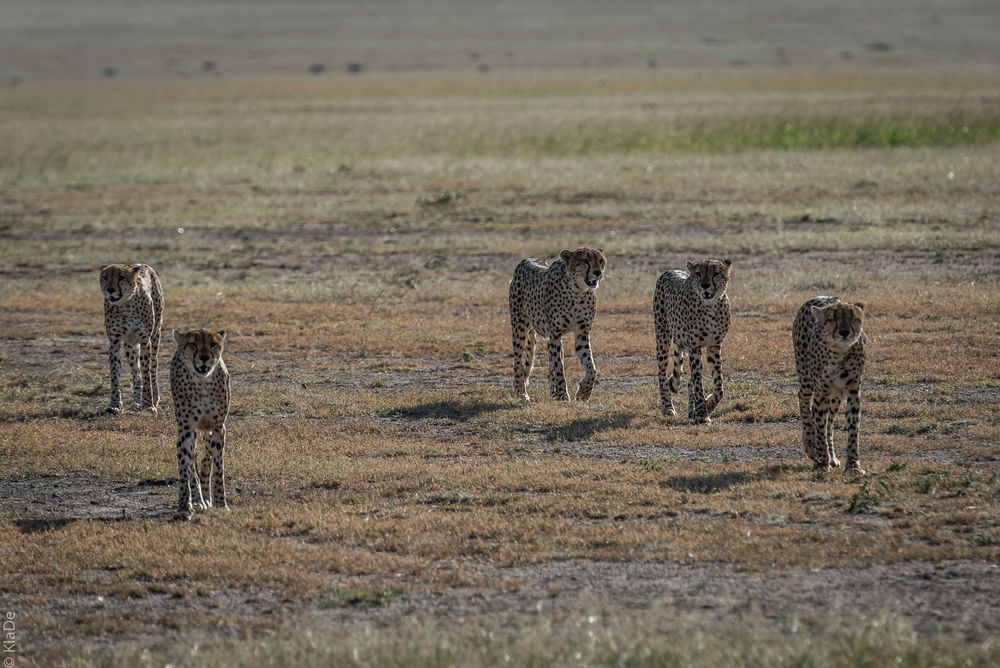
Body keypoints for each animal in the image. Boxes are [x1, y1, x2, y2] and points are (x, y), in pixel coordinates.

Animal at [100, 264, 164, 414]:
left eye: (121, 278)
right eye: (105, 277)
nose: (110, 290)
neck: (126, 305)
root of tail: (144, 265)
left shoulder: (145, 341)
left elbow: (146, 373)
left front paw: (148, 404)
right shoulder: (115, 343)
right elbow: (115, 374)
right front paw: (115, 404)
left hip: (155, 337)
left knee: (153, 368)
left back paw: (154, 397)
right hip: (130, 345)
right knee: (136, 373)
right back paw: (136, 402)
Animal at [174, 328, 234, 520]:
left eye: (213, 344)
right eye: (193, 344)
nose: (205, 358)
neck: (203, 384)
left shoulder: (218, 427)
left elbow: (218, 468)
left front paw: (221, 503)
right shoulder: (186, 429)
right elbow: (185, 468)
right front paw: (184, 507)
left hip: (210, 430)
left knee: (206, 457)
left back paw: (207, 498)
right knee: (192, 463)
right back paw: (199, 500)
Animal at [512, 247, 604, 400]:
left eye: (601, 261)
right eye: (585, 261)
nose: (598, 272)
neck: (577, 291)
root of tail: (527, 259)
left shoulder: (582, 334)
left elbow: (591, 367)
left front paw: (583, 392)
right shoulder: (555, 334)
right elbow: (559, 367)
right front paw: (563, 395)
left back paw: (552, 393)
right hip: (519, 327)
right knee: (518, 361)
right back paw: (521, 392)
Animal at [652, 258, 732, 422]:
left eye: (716, 274)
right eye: (699, 273)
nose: (705, 285)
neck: (711, 307)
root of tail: (669, 271)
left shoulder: (714, 346)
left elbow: (719, 387)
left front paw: (707, 407)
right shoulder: (695, 347)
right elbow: (698, 382)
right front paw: (701, 412)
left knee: (688, 381)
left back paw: (690, 412)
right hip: (663, 336)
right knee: (662, 374)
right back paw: (668, 408)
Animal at [792, 296, 864, 474]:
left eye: (853, 318)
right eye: (832, 319)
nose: (844, 333)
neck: (840, 352)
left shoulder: (853, 392)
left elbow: (852, 428)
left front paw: (853, 464)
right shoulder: (821, 393)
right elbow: (819, 427)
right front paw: (822, 462)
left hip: (835, 396)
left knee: (829, 423)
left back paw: (831, 457)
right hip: (806, 380)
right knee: (804, 403)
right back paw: (811, 445)